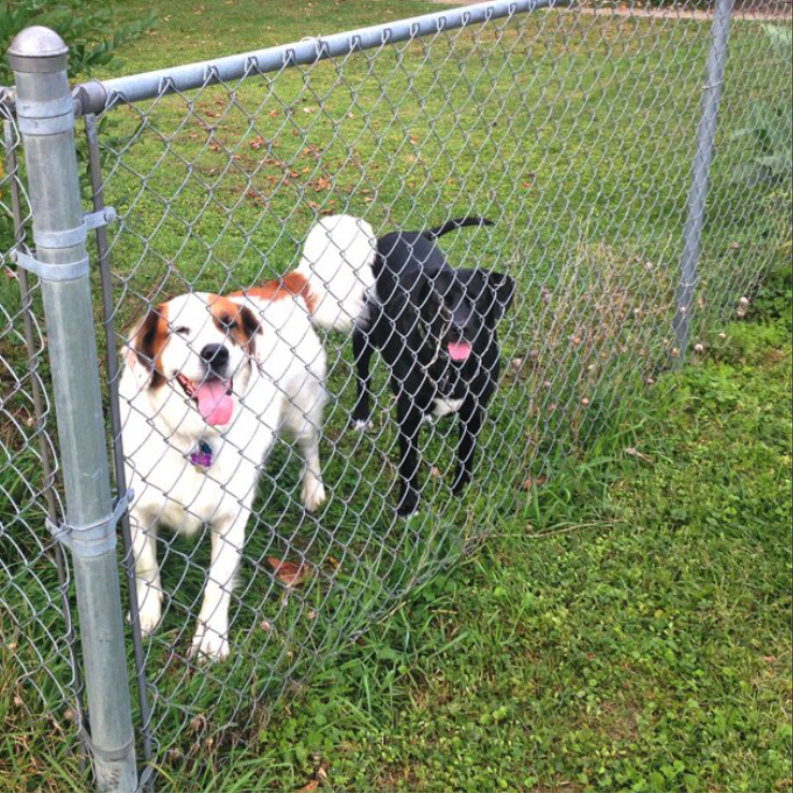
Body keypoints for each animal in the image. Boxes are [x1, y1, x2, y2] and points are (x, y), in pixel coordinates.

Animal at [119, 213, 376, 660]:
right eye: (181, 330)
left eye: (228, 325)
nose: (214, 353)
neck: (193, 435)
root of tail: (282, 287)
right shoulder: (138, 507)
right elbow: (147, 568)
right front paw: (148, 616)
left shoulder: (231, 515)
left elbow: (217, 583)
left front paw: (210, 640)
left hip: (301, 412)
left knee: (310, 449)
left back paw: (313, 491)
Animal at [352, 218, 512, 512]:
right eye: (439, 299)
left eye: (477, 298)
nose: (459, 327)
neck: (452, 368)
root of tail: (408, 233)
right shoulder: (407, 414)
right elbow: (408, 463)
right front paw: (408, 506)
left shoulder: (475, 409)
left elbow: (466, 454)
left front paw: (461, 491)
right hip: (364, 331)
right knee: (363, 375)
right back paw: (360, 416)